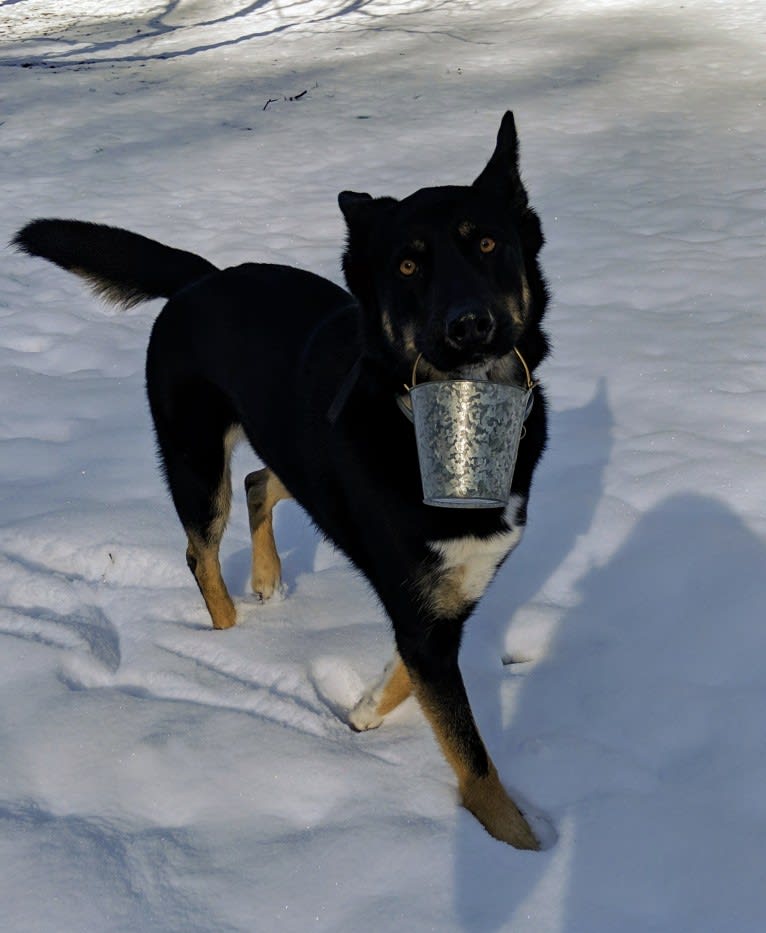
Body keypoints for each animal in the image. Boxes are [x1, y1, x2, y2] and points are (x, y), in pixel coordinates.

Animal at [13, 113, 552, 848]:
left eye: (489, 243)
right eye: (408, 265)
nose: (468, 324)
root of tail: (201, 280)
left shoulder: (449, 598)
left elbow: (411, 677)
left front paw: (362, 709)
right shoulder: (423, 613)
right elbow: (474, 760)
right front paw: (522, 848)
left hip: (296, 446)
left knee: (258, 481)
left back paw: (266, 580)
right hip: (195, 463)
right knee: (201, 547)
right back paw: (231, 632)